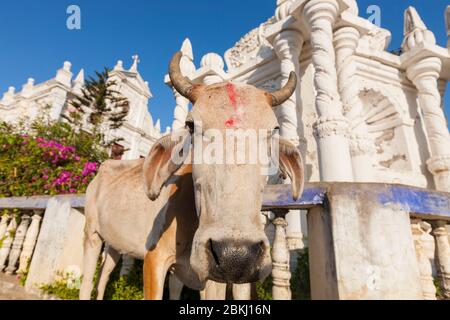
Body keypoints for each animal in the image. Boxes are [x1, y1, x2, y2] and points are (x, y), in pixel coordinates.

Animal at [80, 50, 306, 300]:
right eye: (190, 125)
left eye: (274, 130)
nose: (236, 256)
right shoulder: (154, 259)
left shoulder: (217, 280)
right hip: (91, 234)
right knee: (87, 282)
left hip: (113, 245)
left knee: (104, 276)